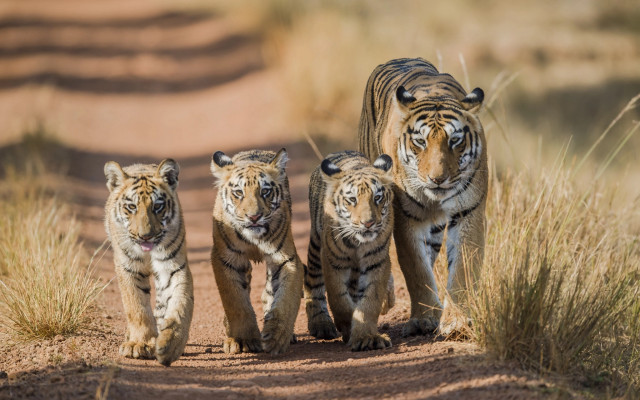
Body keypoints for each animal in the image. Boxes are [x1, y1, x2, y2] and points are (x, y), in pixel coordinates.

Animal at [104, 159, 194, 367]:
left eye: (158, 206)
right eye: (131, 207)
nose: (145, 236)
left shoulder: (173, 267)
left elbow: (180, 304)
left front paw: (171, 344)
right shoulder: (129, 268)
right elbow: (136, 306)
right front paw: (140, 344)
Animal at [210, 148, 304, 355]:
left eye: (265, 191)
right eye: (238, 192)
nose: (254, 217)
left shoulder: (285, 260)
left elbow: (285, 298)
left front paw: (277, 337)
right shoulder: (226, 260)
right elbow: (236, 302)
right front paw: (243, 339)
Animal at [304, 150, 395, 351]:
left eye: (377, 198)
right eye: (352, 199)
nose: (368, 223)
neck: (357, 244)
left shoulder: (377, 262)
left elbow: (370, 301)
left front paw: (366, 336)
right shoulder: (333, 261)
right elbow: (339, 300)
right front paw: (347, 329)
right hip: (315, 246)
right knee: (313, 283)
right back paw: (321, 325)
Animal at [358, 57, 487, 336]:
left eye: (455, 141)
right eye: (420, 142)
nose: (437, 179)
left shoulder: (469, 212)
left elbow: (463, 266)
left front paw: (456, 320)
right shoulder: (407, 217)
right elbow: (415, 268)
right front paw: (424, 318)